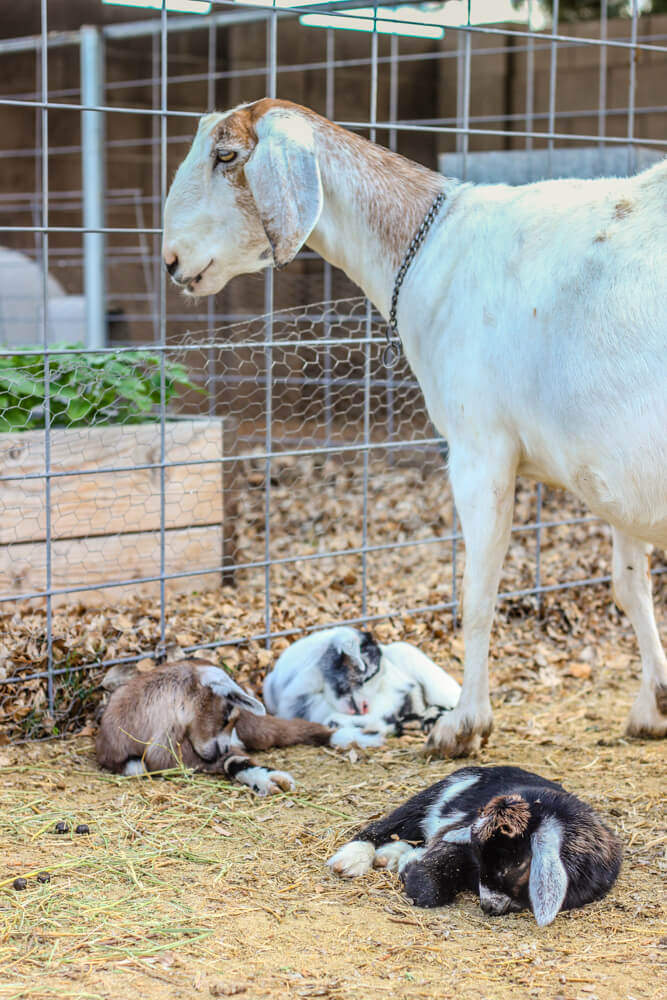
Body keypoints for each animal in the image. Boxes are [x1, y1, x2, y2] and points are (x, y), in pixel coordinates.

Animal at [163, 99, 667, 756]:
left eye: (226, 155)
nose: (172, 260)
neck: (435, 246)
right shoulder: (617, 469)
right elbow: (630, 586)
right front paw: (653, 706)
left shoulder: (481, 447)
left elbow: (477, 593)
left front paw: (464, 726)